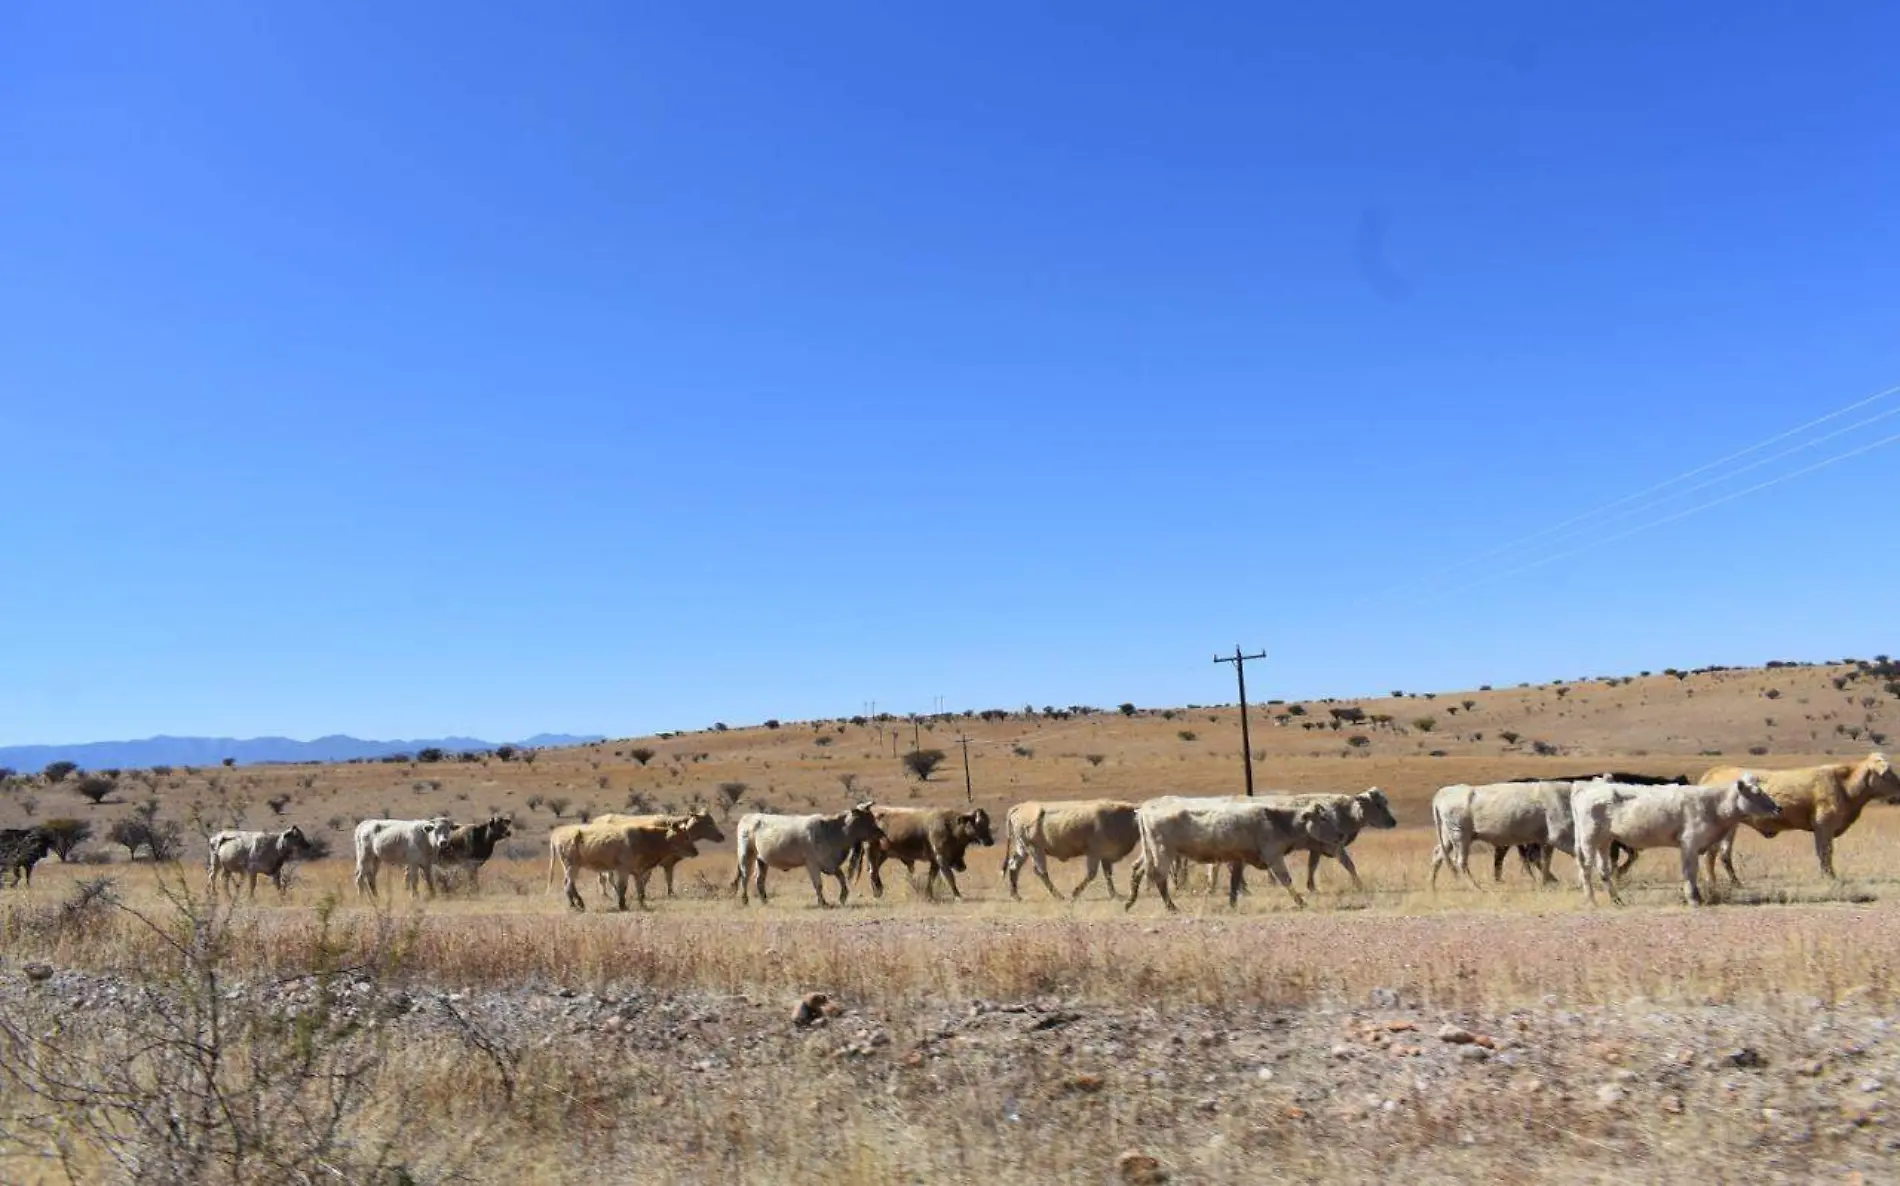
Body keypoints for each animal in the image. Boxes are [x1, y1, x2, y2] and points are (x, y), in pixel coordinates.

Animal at [729, 805, 885, 908]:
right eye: (866, 820)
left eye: (872, 818)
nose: (881, 832)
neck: (832, 831)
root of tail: (748, 816)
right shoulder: (812, 863)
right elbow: (818, 884)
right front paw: (823, 902)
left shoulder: (830, 863)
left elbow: (841, 878)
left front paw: (843, 896)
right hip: (746, 855)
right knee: (745, 878)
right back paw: (745, 900)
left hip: (761, 860)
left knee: (759, 880)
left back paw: (765, 901)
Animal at [847, 805, 995, 897]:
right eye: (978, 823)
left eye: (987, 823)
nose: (990, 841)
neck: (950, 825)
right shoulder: (941, 858)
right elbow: (949, 877)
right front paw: (958, 895)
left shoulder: (935, 861)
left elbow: (931, 877)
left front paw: (929, 894)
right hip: (872, 850)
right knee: (872, 871)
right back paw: (877, 894)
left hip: (882, 854)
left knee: (874, 870)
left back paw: (878, 890)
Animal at [1565, 767, 1770, 908]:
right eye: (1757, 793)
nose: (1776, 808)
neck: (1713, 803)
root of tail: (1584, 787)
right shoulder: (1689, 844)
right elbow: (1690, 872)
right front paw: (1694, 900)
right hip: (1589, 840)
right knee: (1586, 869)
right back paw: (1592, 901)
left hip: (1604, 841)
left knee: (1603, 871)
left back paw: (1617, 900)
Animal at [1702, 748, 1892, 881]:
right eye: (1888, 772)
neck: (1843, 784)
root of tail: (1715, 771)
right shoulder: (1824, 827)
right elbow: (1825, 852)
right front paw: (1830, 877)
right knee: (1714, 853)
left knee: (1723, 853)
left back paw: (1734, 883)